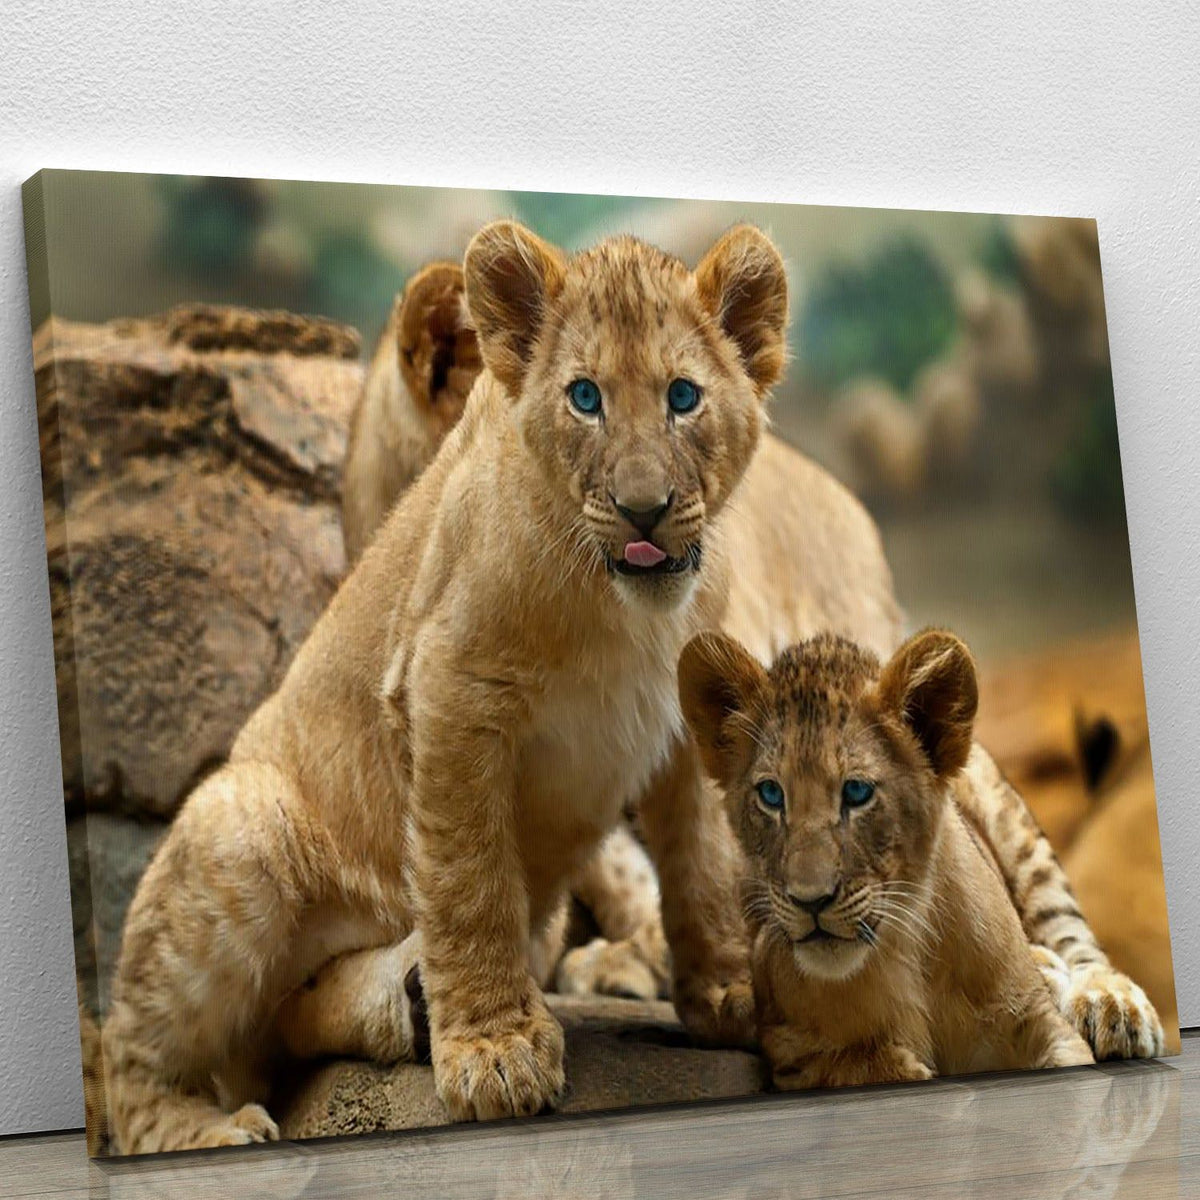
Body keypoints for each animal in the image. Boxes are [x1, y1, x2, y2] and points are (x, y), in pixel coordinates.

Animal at [679, 628, 1101, 1089]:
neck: (905, 951)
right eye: (771, 794)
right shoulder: (792, 1051)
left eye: (857, 792)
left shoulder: (1037, 1021)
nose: (810, 901)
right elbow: (859, 1064)